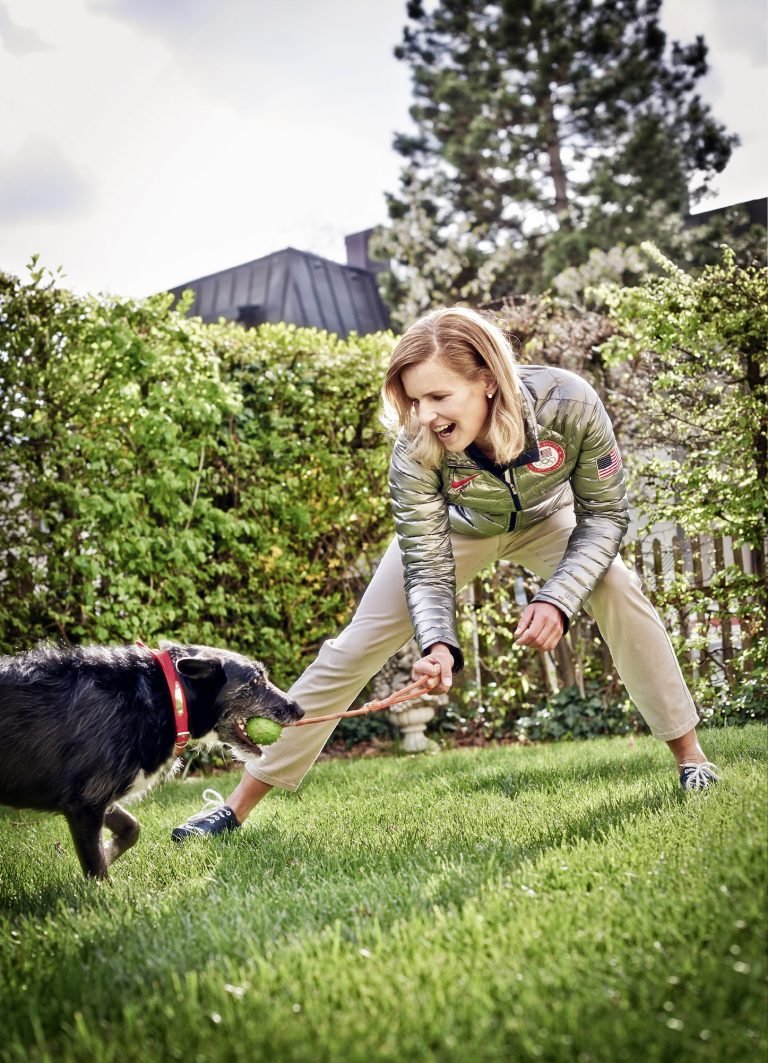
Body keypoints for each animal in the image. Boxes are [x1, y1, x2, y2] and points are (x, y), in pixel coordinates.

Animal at [0, 637, 302, 880]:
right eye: (255, 681)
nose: (299, 709)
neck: (165, 695)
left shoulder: (96, 798)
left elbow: (131, 828)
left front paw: (109, 851)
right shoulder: (84, 803)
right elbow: (97, 870)